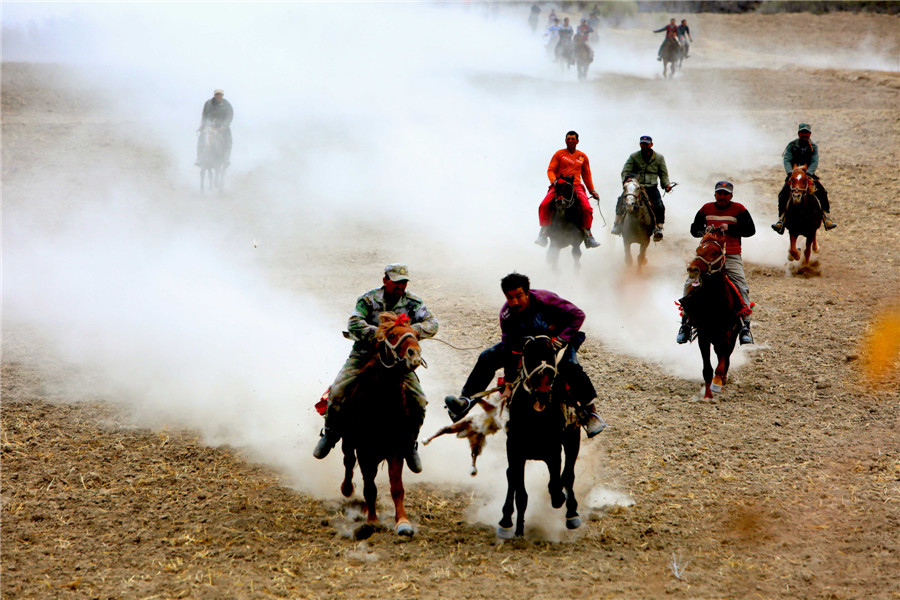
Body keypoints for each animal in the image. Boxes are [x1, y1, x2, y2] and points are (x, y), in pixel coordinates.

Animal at [340, 312, 428, 536]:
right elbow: (369, 487)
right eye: (393, 334)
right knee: (348, 462)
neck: (382, 404)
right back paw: (347, 489)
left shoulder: (396, 449)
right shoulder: (364, 450)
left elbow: (397, 487)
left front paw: (403, 522)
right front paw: (372, 520)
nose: (414, 354)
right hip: (348, 440)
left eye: (416, 335)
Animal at [496, 338, 580, 540]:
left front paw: (562, 500)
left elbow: (557, 486)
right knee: (511, 477)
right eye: (529, 357)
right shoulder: (516, 451)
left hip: (573, 437)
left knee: (569, 474)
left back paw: (572, 513)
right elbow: (521, 493)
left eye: (551, 356)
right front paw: (516, 528)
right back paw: (506, 520)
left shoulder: (554, 451)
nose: (542, 393)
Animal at [684, 227, 744, 400]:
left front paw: (717, 384)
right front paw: (707, 395)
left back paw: (722, 382)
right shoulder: (703, 336)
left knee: (726, 358)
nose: (693, 269)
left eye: (714, 252)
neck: (714, 303)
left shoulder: (726, 334)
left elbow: (721, 364)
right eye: (698, 250)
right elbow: (707, 369)